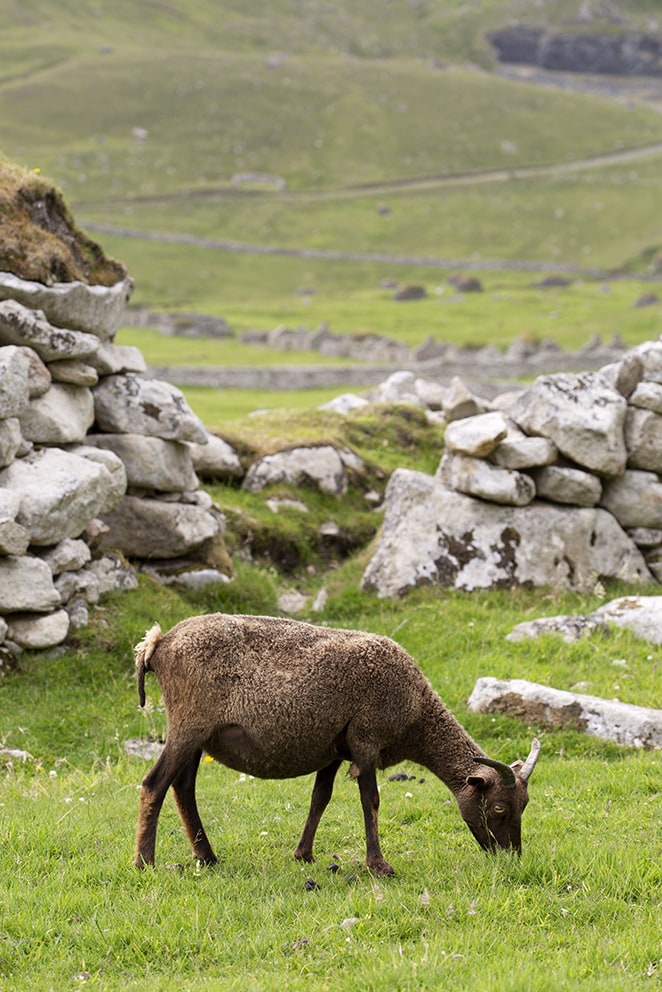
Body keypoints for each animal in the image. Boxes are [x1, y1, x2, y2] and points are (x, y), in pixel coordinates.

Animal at [132, 612, 544, 876]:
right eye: (499, 808)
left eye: (523, 805)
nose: (511, 857)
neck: (416, 713)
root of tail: (157, 644)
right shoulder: (366, 738)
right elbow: (370, 800)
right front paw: (379, 866)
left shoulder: (333, 748)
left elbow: (321, 798)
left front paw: (304, 854)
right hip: (189, 723)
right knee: (155, 783)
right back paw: (145, 862)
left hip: (198, 734)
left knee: (183, 787)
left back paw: (206, 857)